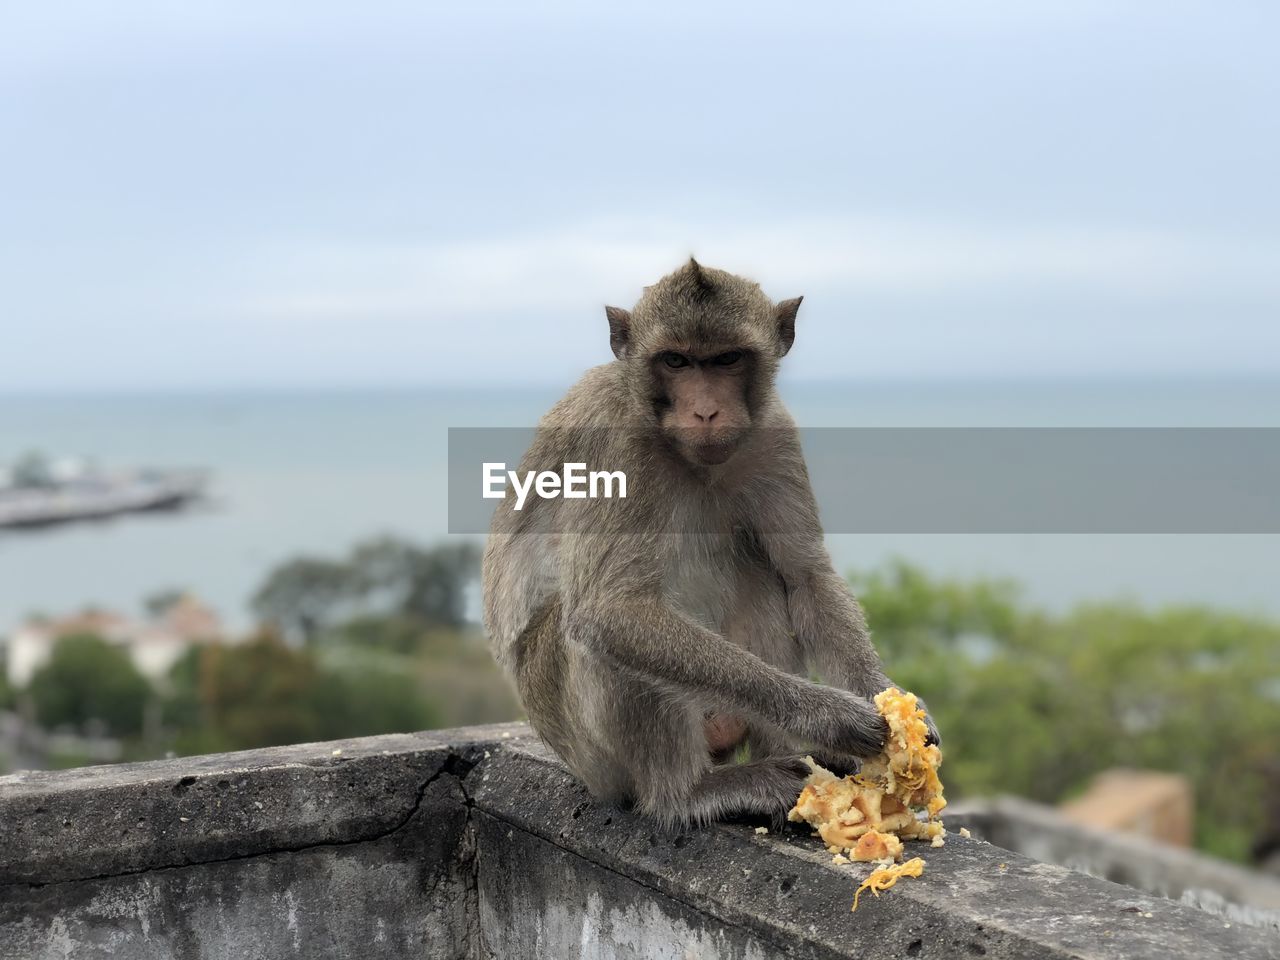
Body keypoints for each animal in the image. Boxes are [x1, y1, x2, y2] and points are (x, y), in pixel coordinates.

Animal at [481, 259, 942, 829]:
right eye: (676, 361)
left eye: (726, 359)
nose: (705, 412)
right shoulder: (619, 447)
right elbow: (611, 609)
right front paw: (829, 716)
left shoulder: (775, 435)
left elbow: (805, 577)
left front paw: (887, 699)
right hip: (590, 753)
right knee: (596, 633)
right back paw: (690, 794)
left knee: (762, 579)